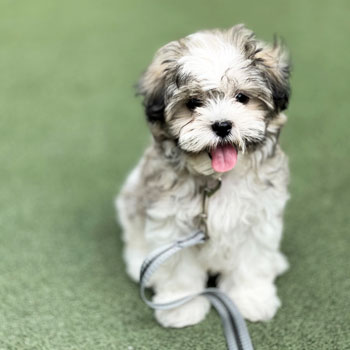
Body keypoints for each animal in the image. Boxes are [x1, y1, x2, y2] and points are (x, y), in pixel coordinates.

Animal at [116, 25, 292, 328]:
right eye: (193, 103)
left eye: (242, 97)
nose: (222, 125)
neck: (217, 179)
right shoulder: (173, 224)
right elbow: (178, 269)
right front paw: (181, 306)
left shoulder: (258, 217)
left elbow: (252, 263)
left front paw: (252, 299)